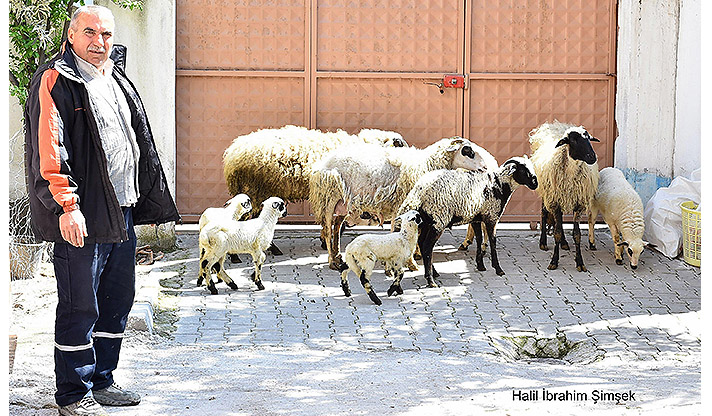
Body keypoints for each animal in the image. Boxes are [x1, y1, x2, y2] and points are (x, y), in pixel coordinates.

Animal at [309, 137, 490, 270]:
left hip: (343, 203)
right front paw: (411, 262)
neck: (427, 164)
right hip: (329, 198)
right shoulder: (404, 205)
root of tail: (321, 163)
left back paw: (337, 256)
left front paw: (413, 257)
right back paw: (332, 261)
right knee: (328, 229)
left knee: (336, 227)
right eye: (468, 150)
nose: (485, 167)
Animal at [397, 156, 538, 286]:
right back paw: (431, 280)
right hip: (438, 220)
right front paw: (498, 269)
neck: (500, 185)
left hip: (428, 221)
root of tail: (418, 193)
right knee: (427, 247)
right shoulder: (491, 217)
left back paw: (434, 273)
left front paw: (480, 265)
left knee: (421, 243)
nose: (535, 183)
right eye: (523, 169)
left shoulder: (476, 219)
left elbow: (479, 239)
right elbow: (492, 241)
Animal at [529, 121, 600, 272]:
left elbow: (577, 234)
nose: (592, 157)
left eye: (589, 138)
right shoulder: (555, 201)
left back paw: (564, 243)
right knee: (544, 213)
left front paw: (580, 262)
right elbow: (556, 233)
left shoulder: (579, 204)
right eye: (573, 140)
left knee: (559, 223)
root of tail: (553, 125)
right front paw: (554, 261)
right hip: (547, 194)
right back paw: (543, 242)